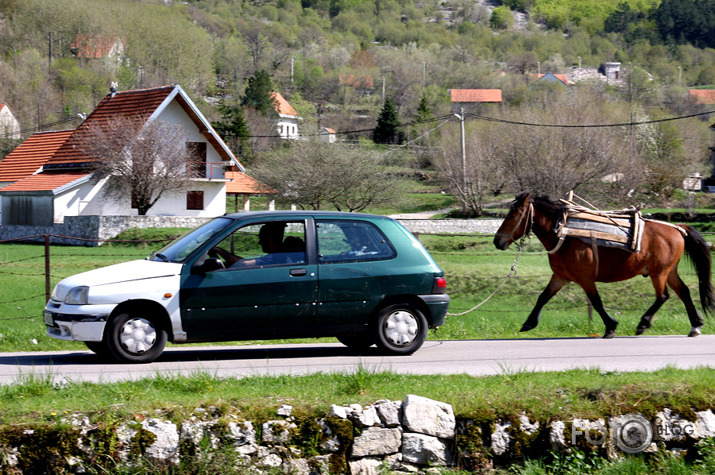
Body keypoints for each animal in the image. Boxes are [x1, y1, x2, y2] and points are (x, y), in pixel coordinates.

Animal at [492, 192, 715, 338]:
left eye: (512, 215)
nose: (497, 241)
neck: (563, 233)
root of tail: (678, 228)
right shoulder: (560, 277)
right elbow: (543, 297)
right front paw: (529, 322)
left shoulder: (585, 279)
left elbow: (597, 302)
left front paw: (611, 326)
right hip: (669, 271)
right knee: (683, 292)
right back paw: (695, 325)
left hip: (658, 272)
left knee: (663, 296)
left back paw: (643, 323)